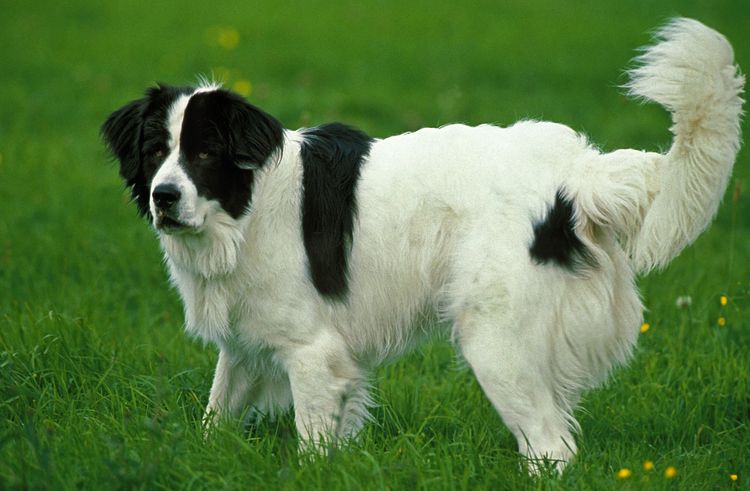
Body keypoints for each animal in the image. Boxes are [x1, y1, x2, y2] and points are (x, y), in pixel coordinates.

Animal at [101, 19, 748, 470]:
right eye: (155, 151)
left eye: (205, 153)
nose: (164, 197)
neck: (248, 208)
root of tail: (577, 173)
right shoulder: (246, 347)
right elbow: (216, 415)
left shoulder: (313, 353)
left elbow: (311, 441)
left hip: (496, 342)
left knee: (552, 447)